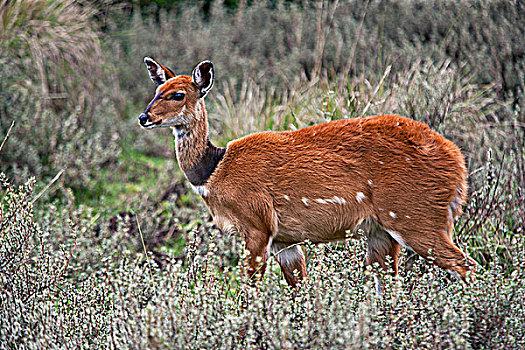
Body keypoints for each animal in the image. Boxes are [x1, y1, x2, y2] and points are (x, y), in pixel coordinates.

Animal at [138, 56, 474, 288]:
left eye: (178, 94)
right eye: (157, 89)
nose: (144, 117)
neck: (214, 169)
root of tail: (458, 167)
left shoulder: (257, 225)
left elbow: (249, 292)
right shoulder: (285, 240)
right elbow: (299, 290)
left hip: (414, 218)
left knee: (467, 266)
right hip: (382, 231)